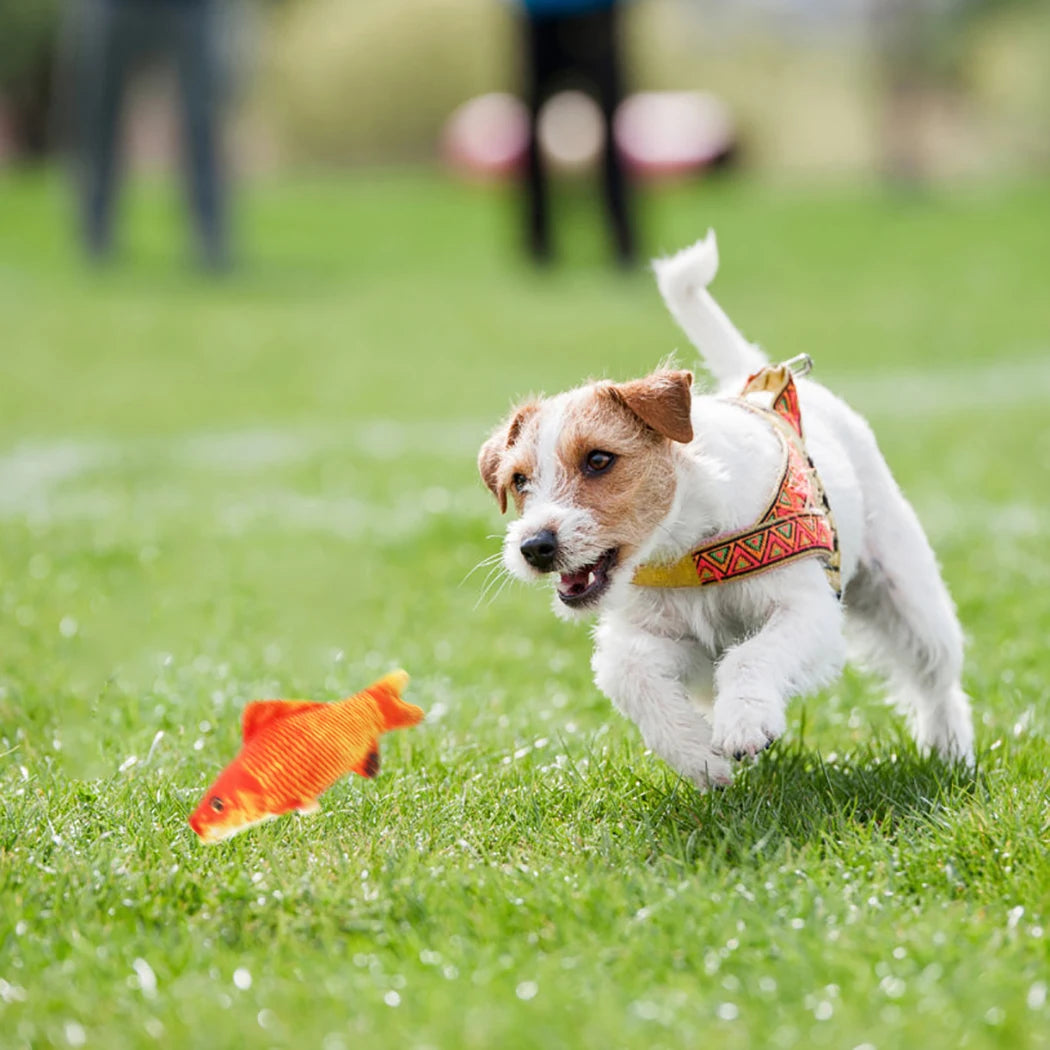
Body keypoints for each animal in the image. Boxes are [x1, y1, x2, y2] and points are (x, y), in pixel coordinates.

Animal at [480, 232, 970, 789]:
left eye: (599, 459)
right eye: (519, 481)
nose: (534, 547)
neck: (687, 544)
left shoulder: (806, 610)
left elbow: (751, 656)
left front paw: (744, 724)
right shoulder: (666, 638)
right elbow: (629, 672)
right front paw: (699, 755)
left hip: (909, 595)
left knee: (938, 679)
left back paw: (950, 750)